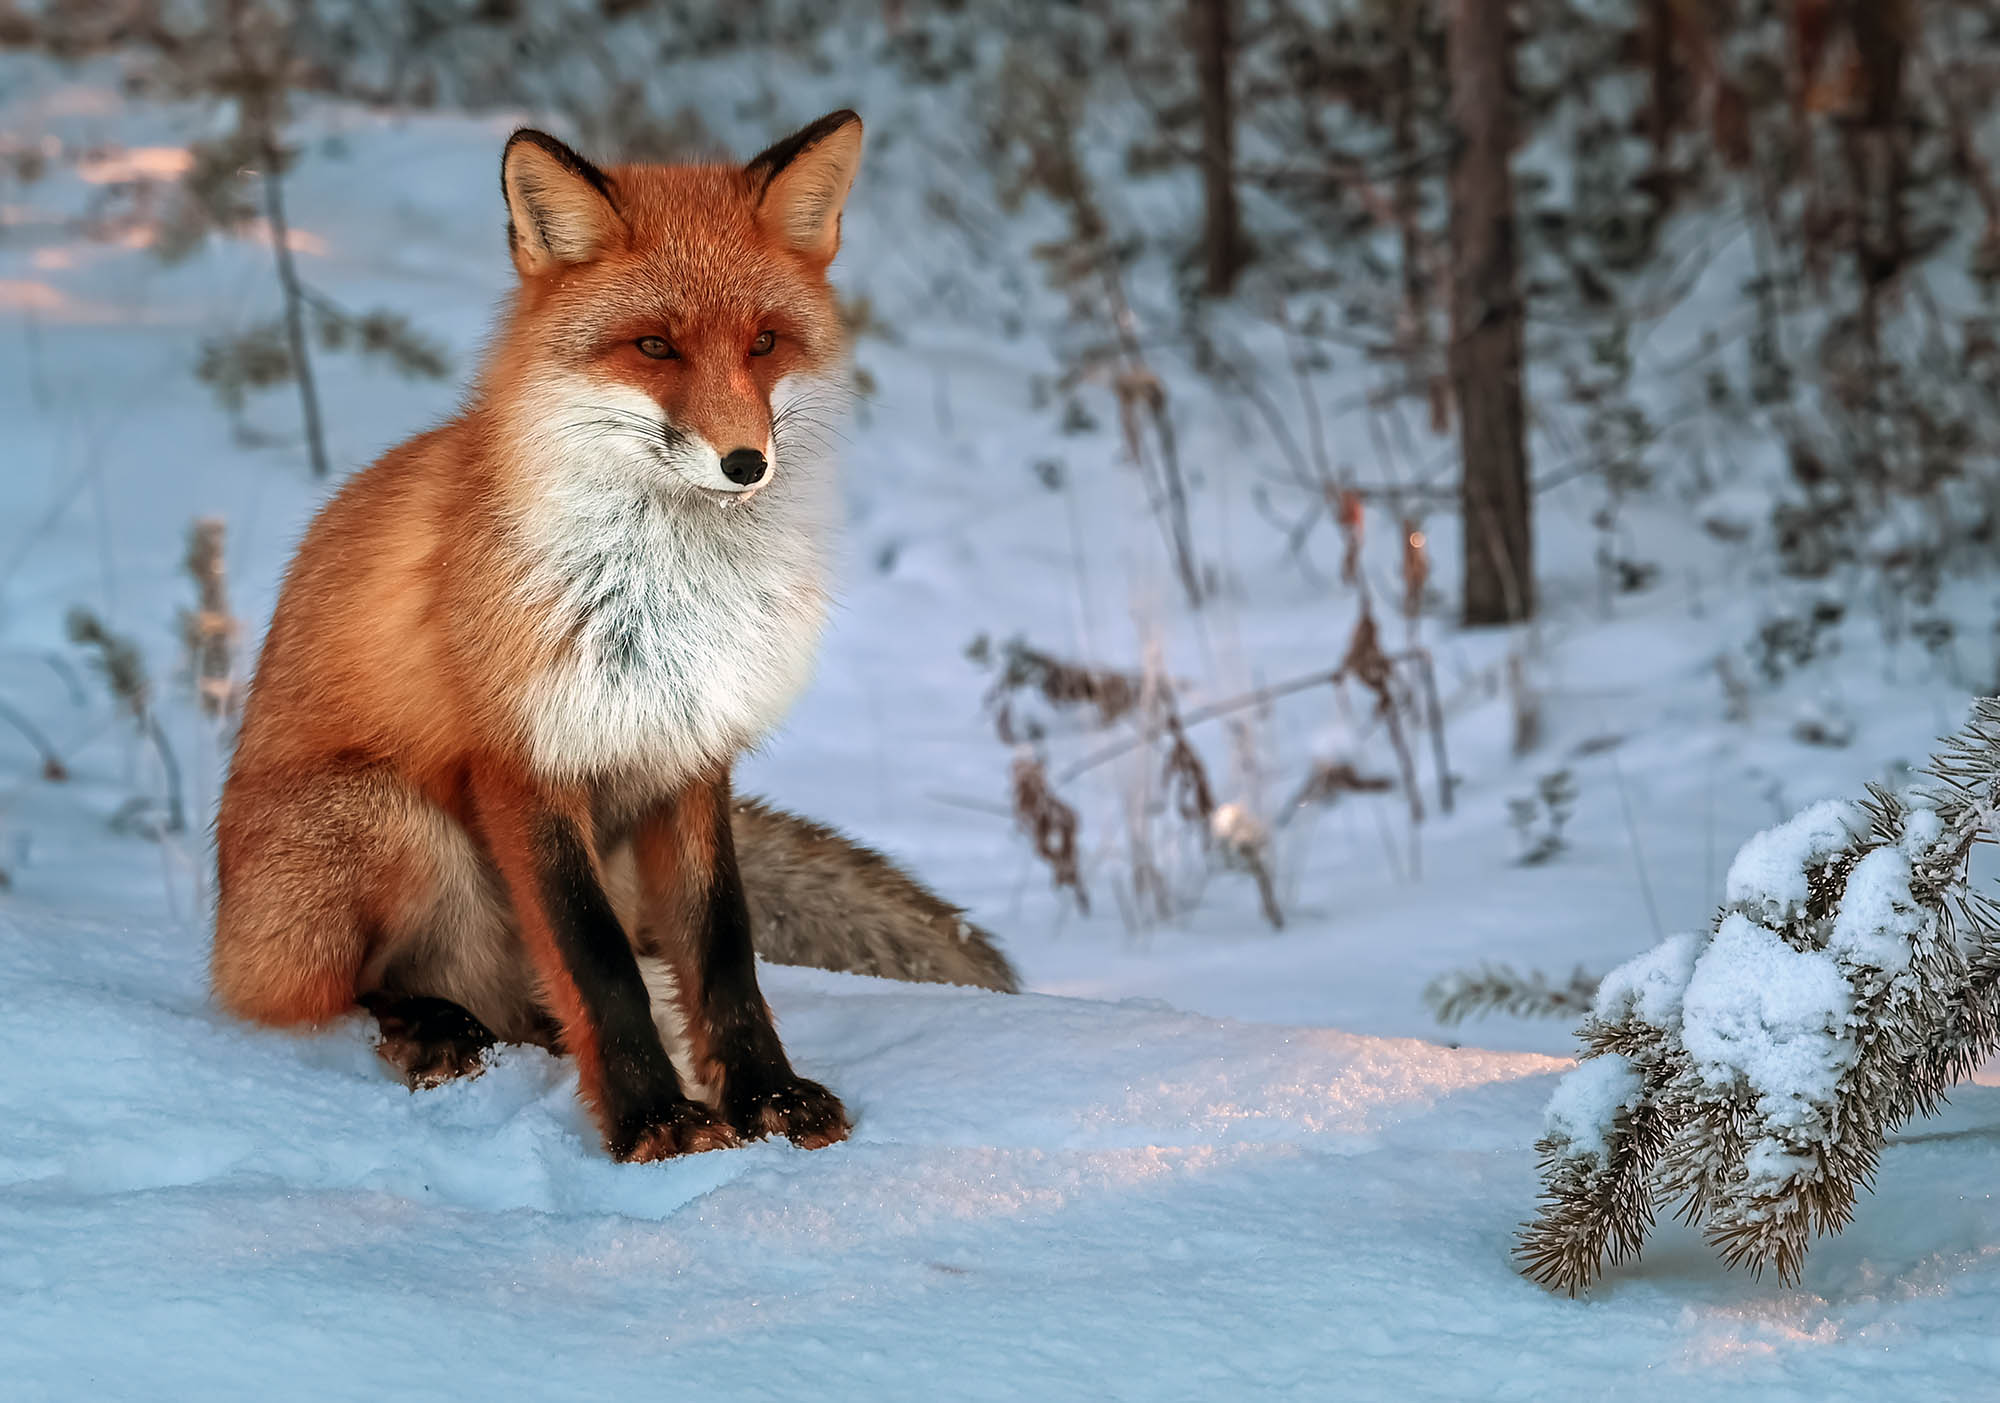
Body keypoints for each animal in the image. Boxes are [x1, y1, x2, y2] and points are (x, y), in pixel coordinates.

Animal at [215, 106, 1016, 1167]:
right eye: (654, 346)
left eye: (765, 342)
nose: (746, 461)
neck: (670, 596)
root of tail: (219, 926)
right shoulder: (526, 763)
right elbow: (600, 965)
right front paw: (653, 1118)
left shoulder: (689, 753)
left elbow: (723, 952)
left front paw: (766, 1095)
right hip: (384, 819)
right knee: (331, 996)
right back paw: (429, 1026)